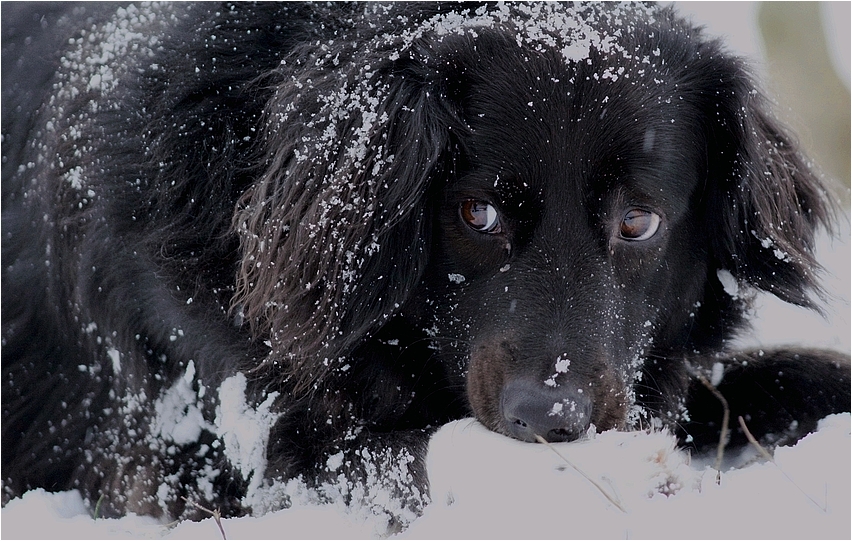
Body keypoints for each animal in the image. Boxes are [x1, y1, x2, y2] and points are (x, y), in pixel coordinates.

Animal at [3, 1, 848, 528]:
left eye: (638, 221)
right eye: (477, 212)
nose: (554, 416)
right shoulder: (209, 455)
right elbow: (420, 450)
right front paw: (608, 472)